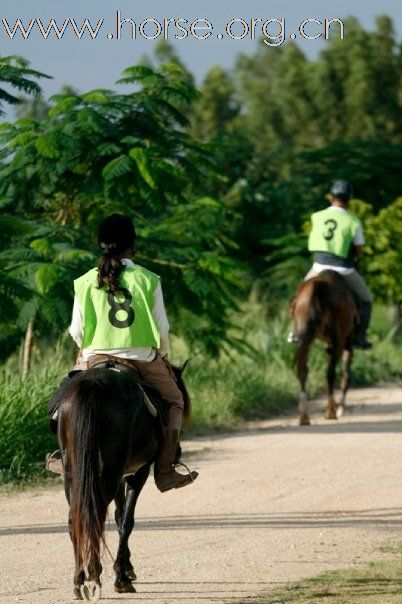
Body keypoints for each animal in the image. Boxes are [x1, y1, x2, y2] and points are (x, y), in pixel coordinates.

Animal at [55, 360, 191, 600]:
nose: (177, 453)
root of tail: (93, 384)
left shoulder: (120, 476)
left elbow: (119, 517)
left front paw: (127, 568)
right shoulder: (138, 471)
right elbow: (127, 521)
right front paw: (122, 577)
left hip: (74, 473)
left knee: (76, 519)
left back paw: (79, 580)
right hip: (109, 472)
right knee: (95, 516)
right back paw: (95, 576)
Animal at [290, 268, 356, 424]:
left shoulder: (330, 344)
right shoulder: (347, 345)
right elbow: (346, 377)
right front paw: (340, 408)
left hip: (305, 338)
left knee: (302, 370)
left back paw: (304, 416)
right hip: (339, 341)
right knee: (330, 373)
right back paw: (331, 411)